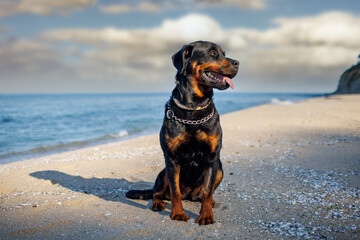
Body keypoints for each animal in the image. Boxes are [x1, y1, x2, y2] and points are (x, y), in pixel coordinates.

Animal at [126, 41, 239, 225]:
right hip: (164, 172)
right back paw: (157, 203)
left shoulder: (212, 157)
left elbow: (207, 192)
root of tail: (190, 196)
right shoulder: (171, 158)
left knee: (203, 193)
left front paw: (206, 215)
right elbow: (175, 191)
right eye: (213, 52)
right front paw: (178, 214)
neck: (194, 109)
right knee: (158, 193)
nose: (237, 63)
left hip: (220, 170)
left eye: (224, 53)